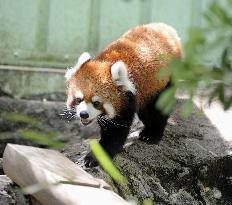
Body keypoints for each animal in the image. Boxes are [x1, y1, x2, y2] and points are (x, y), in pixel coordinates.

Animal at [65, 22, 181, 167]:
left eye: (96, 103)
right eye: (78, 99)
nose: (83, 114)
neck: (106, 61)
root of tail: (165, 28)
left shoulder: (127, 98)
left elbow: (115, 133)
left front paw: (94, 157)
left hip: (166, 79)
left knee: (159, 107)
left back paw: (152, 134)